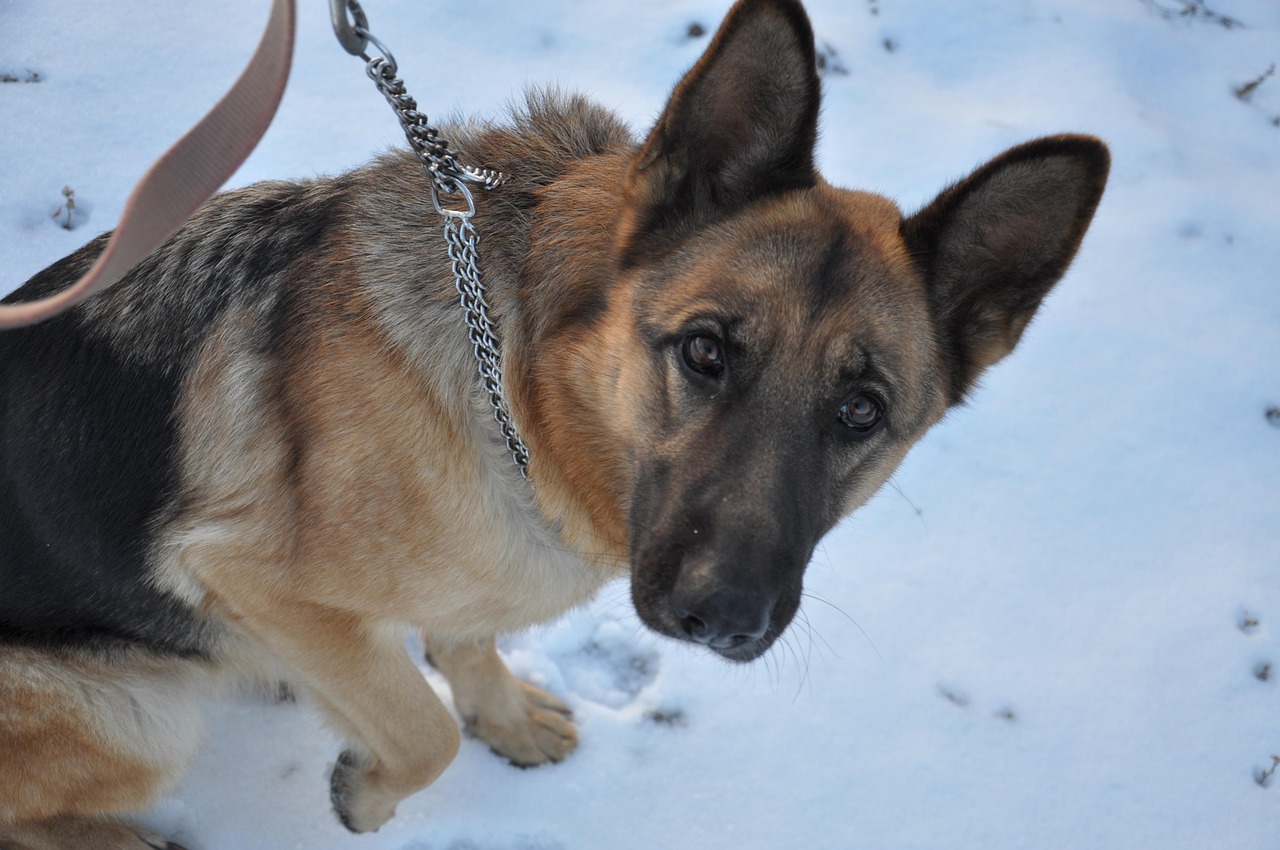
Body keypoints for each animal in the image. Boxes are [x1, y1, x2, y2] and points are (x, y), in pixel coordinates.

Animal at [0, 0, 1105, 844]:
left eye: (860, 410)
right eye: (706, 352)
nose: (724, 618)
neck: (525, 396)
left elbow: (462, 649)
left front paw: (497, 710)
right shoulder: (244, 575)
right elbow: (422, 731)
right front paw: (374, 787)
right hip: (133, 711)